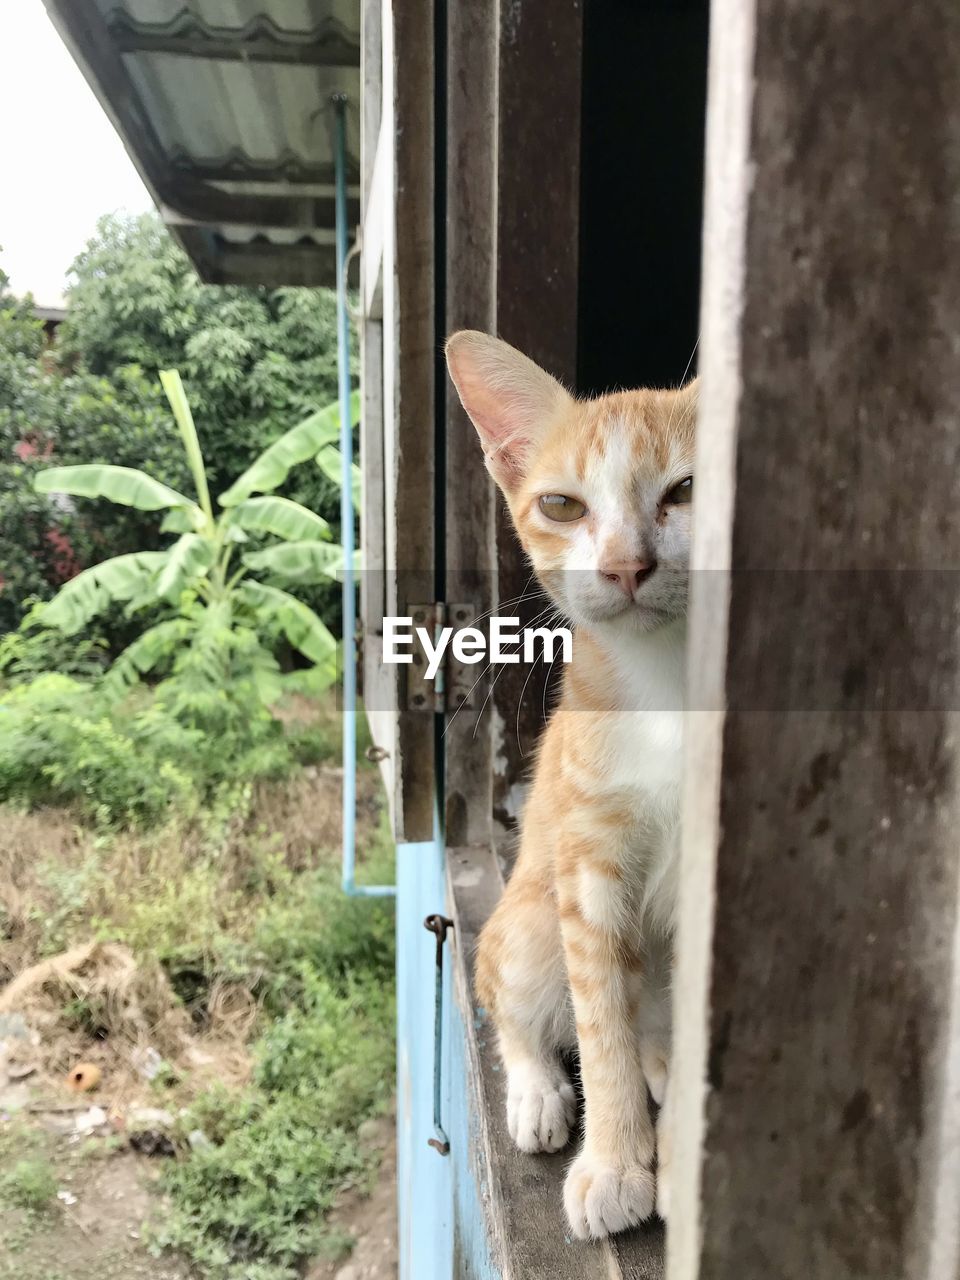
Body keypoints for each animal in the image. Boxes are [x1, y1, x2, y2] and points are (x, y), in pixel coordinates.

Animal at [442, 330, 701, 1239]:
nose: (626, 566)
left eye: (687, 490)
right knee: (504, 996)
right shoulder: (589, 863)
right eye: (561, 506)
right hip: (528, 922)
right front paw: (616, 1163)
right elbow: (597, 1022)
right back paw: (539, 1090)